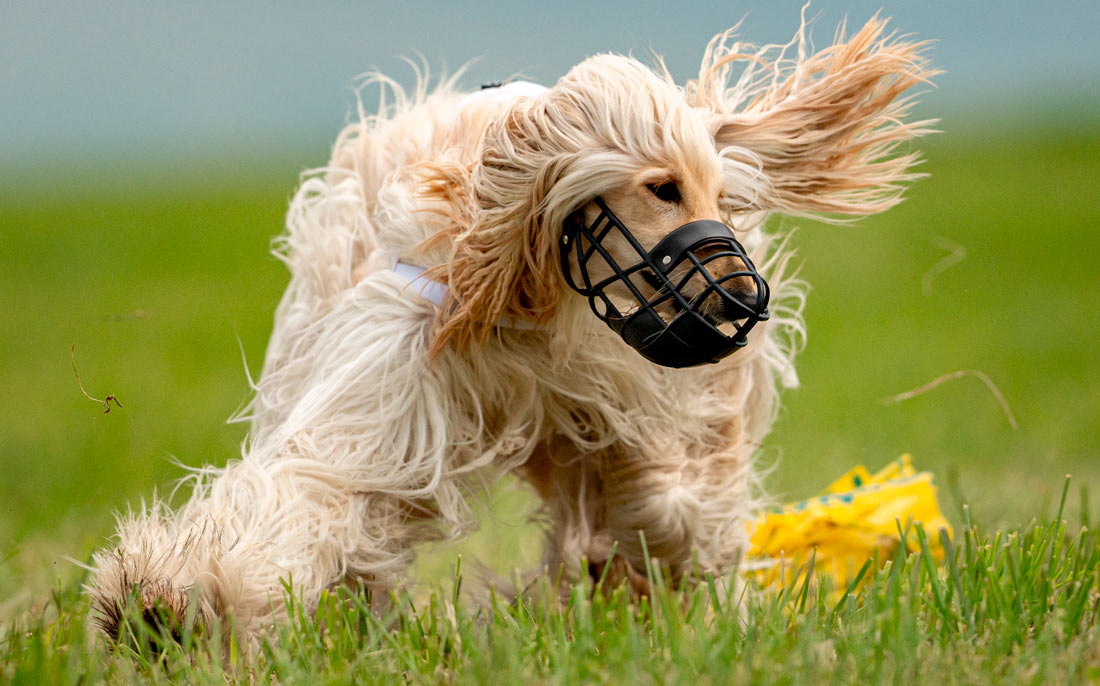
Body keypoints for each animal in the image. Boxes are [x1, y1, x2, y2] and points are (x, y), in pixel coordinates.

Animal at [88, 15, 934, 640]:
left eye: (722, 196)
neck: (537, 300)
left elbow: (669, 501)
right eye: (662, 187)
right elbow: (318, 480)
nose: (738, 300)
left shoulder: (636, 400)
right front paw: (165, 605)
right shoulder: (392, 380)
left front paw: (637, 571)